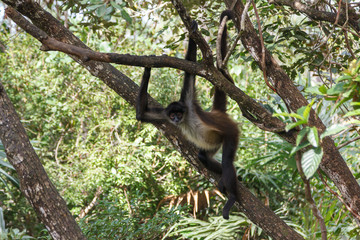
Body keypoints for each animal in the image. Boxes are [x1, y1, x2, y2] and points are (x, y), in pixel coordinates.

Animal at [136, 12, 238, 219]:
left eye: (178, 113)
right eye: (172, 114)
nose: (175, 119)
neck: (185, 118)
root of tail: (218, 115)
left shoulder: (188, 102)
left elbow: (189, 71)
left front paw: (193, 30)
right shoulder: (164, 114)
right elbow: (142, 115)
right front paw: (148, 67)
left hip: (231, 133)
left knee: (227, 161)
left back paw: (232, 195)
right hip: (214, 142)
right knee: (203, 157)